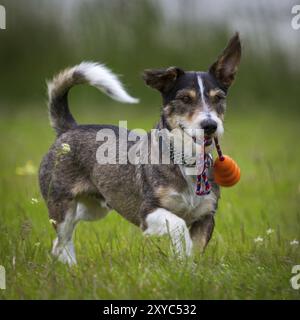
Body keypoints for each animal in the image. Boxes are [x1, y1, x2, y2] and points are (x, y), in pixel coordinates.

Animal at [39, 33, 241, 264]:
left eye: (219, 98)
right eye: (184, 98)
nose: (210, 125)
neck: (185, 162)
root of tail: (69, 128)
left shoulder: (206, 217)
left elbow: (195, 248)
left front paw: (187, 265)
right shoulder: (147, 213)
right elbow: (179, 226)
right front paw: (182, 257)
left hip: (96, 207)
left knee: (60, 238)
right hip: (62, 205)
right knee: (65, 237)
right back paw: (72, 266)